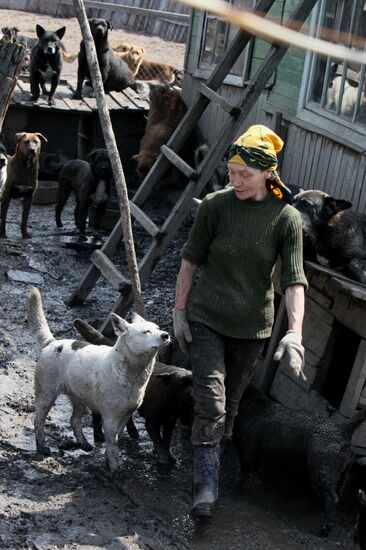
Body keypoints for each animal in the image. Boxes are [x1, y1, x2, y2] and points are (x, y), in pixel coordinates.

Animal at [27, 286, 170, 476]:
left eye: (157, 328)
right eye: (146, 332)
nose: (166, 335)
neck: (130, 372)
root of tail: (52, 343)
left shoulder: (126, 414)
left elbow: (116, 439)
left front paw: (108, 462)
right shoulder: (110, 417)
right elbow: (112, 444)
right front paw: (114, 469)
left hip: (79, 397)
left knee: (74, 420)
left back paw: (84, 444)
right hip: (46, 393)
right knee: (38, 420)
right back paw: (42, 447)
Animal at [233, 386, 366, 536]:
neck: (252, 402)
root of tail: (342, 429)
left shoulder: (247, 449)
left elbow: (245, 470)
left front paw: (237, 485)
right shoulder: (257, 452)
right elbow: (257, 466)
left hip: (320, 472)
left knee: (333, 498)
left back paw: (326, 527)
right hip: (340, 476)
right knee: (337, 495)